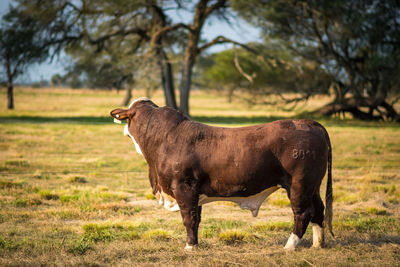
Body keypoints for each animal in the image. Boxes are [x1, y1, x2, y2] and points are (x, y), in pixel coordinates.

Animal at [111, 98, 332, 251]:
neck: (164, 138)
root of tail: (309, 123)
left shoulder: (184, 188)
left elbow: (188, 218)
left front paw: (189, 247)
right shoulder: (195, 192)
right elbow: (196, 218)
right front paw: (195, 244)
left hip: (299, 185)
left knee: (302, 213)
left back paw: (289, 246)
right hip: (313, 186)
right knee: (318, 210)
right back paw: (317, 244)